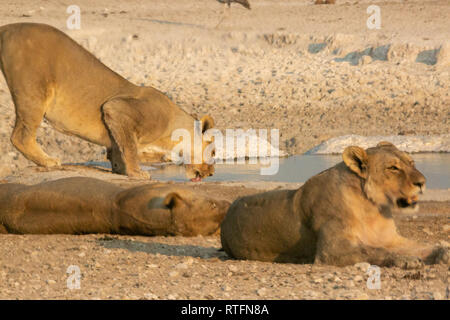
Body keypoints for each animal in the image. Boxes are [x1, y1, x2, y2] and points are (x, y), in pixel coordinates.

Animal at [0, 23, 216, 180]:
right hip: (33, 92)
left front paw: (120, 169)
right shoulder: (118, 109)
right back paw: (48, 161)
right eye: (213, 153)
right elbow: (130, 147)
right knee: (20, 136)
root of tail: (7, 28)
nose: (212, 173)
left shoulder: (116, 120)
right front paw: (137, 173)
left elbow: (120, 148)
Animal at [221, 142, 446, 268]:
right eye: (393, 168)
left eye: (412, 163)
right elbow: (374, 252)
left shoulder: (392, 239)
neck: (373, 209)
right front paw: (406, 260)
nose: (422, 182)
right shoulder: (331, 250)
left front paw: (444, 252)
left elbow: (421, 245)